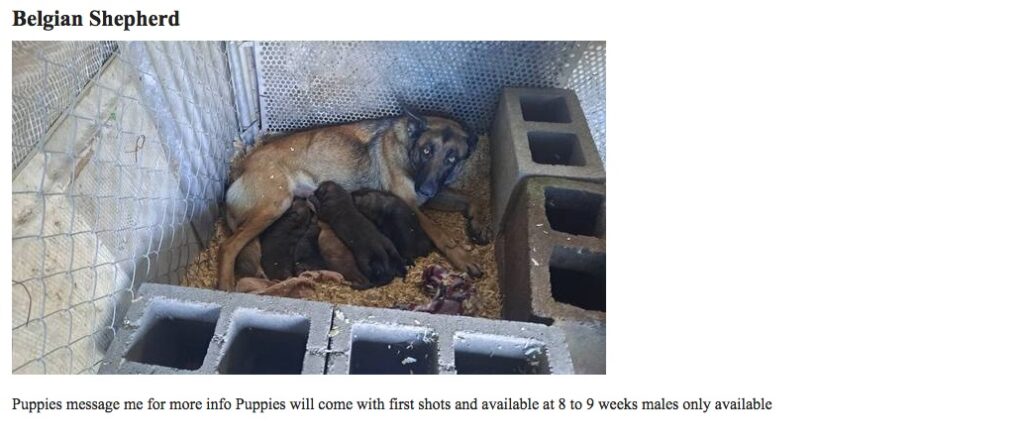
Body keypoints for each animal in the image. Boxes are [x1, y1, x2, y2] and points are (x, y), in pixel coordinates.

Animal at [218, 113, 489, 290]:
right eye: (427, 151)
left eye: (451, 158)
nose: (426, 189)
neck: (408, 147)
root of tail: (241, 166)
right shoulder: (410, 203)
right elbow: (439, 232)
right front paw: (463, 257)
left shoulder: (432, 196)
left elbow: (472, 197)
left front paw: (479, 223)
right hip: (276, 204)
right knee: (229, 246)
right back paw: (226, 284)